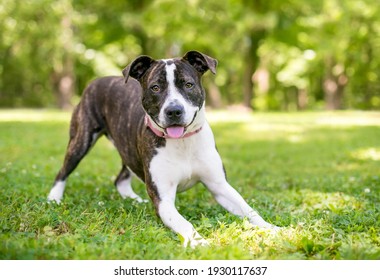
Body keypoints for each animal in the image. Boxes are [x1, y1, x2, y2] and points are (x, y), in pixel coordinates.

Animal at [48, 50, 280, 247]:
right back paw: (54, 199)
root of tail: (98, 80)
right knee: (63, 172)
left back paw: (134, 199)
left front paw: (274, 229)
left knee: (121, 178)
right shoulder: (163, 200)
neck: (183, 142)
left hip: (127, 148)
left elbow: (249, 210)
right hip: (81, 140)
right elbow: (185, 223)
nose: (174, 110)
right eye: (155, 88)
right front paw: (199, 242)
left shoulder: (219, 185)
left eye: (188, 84)